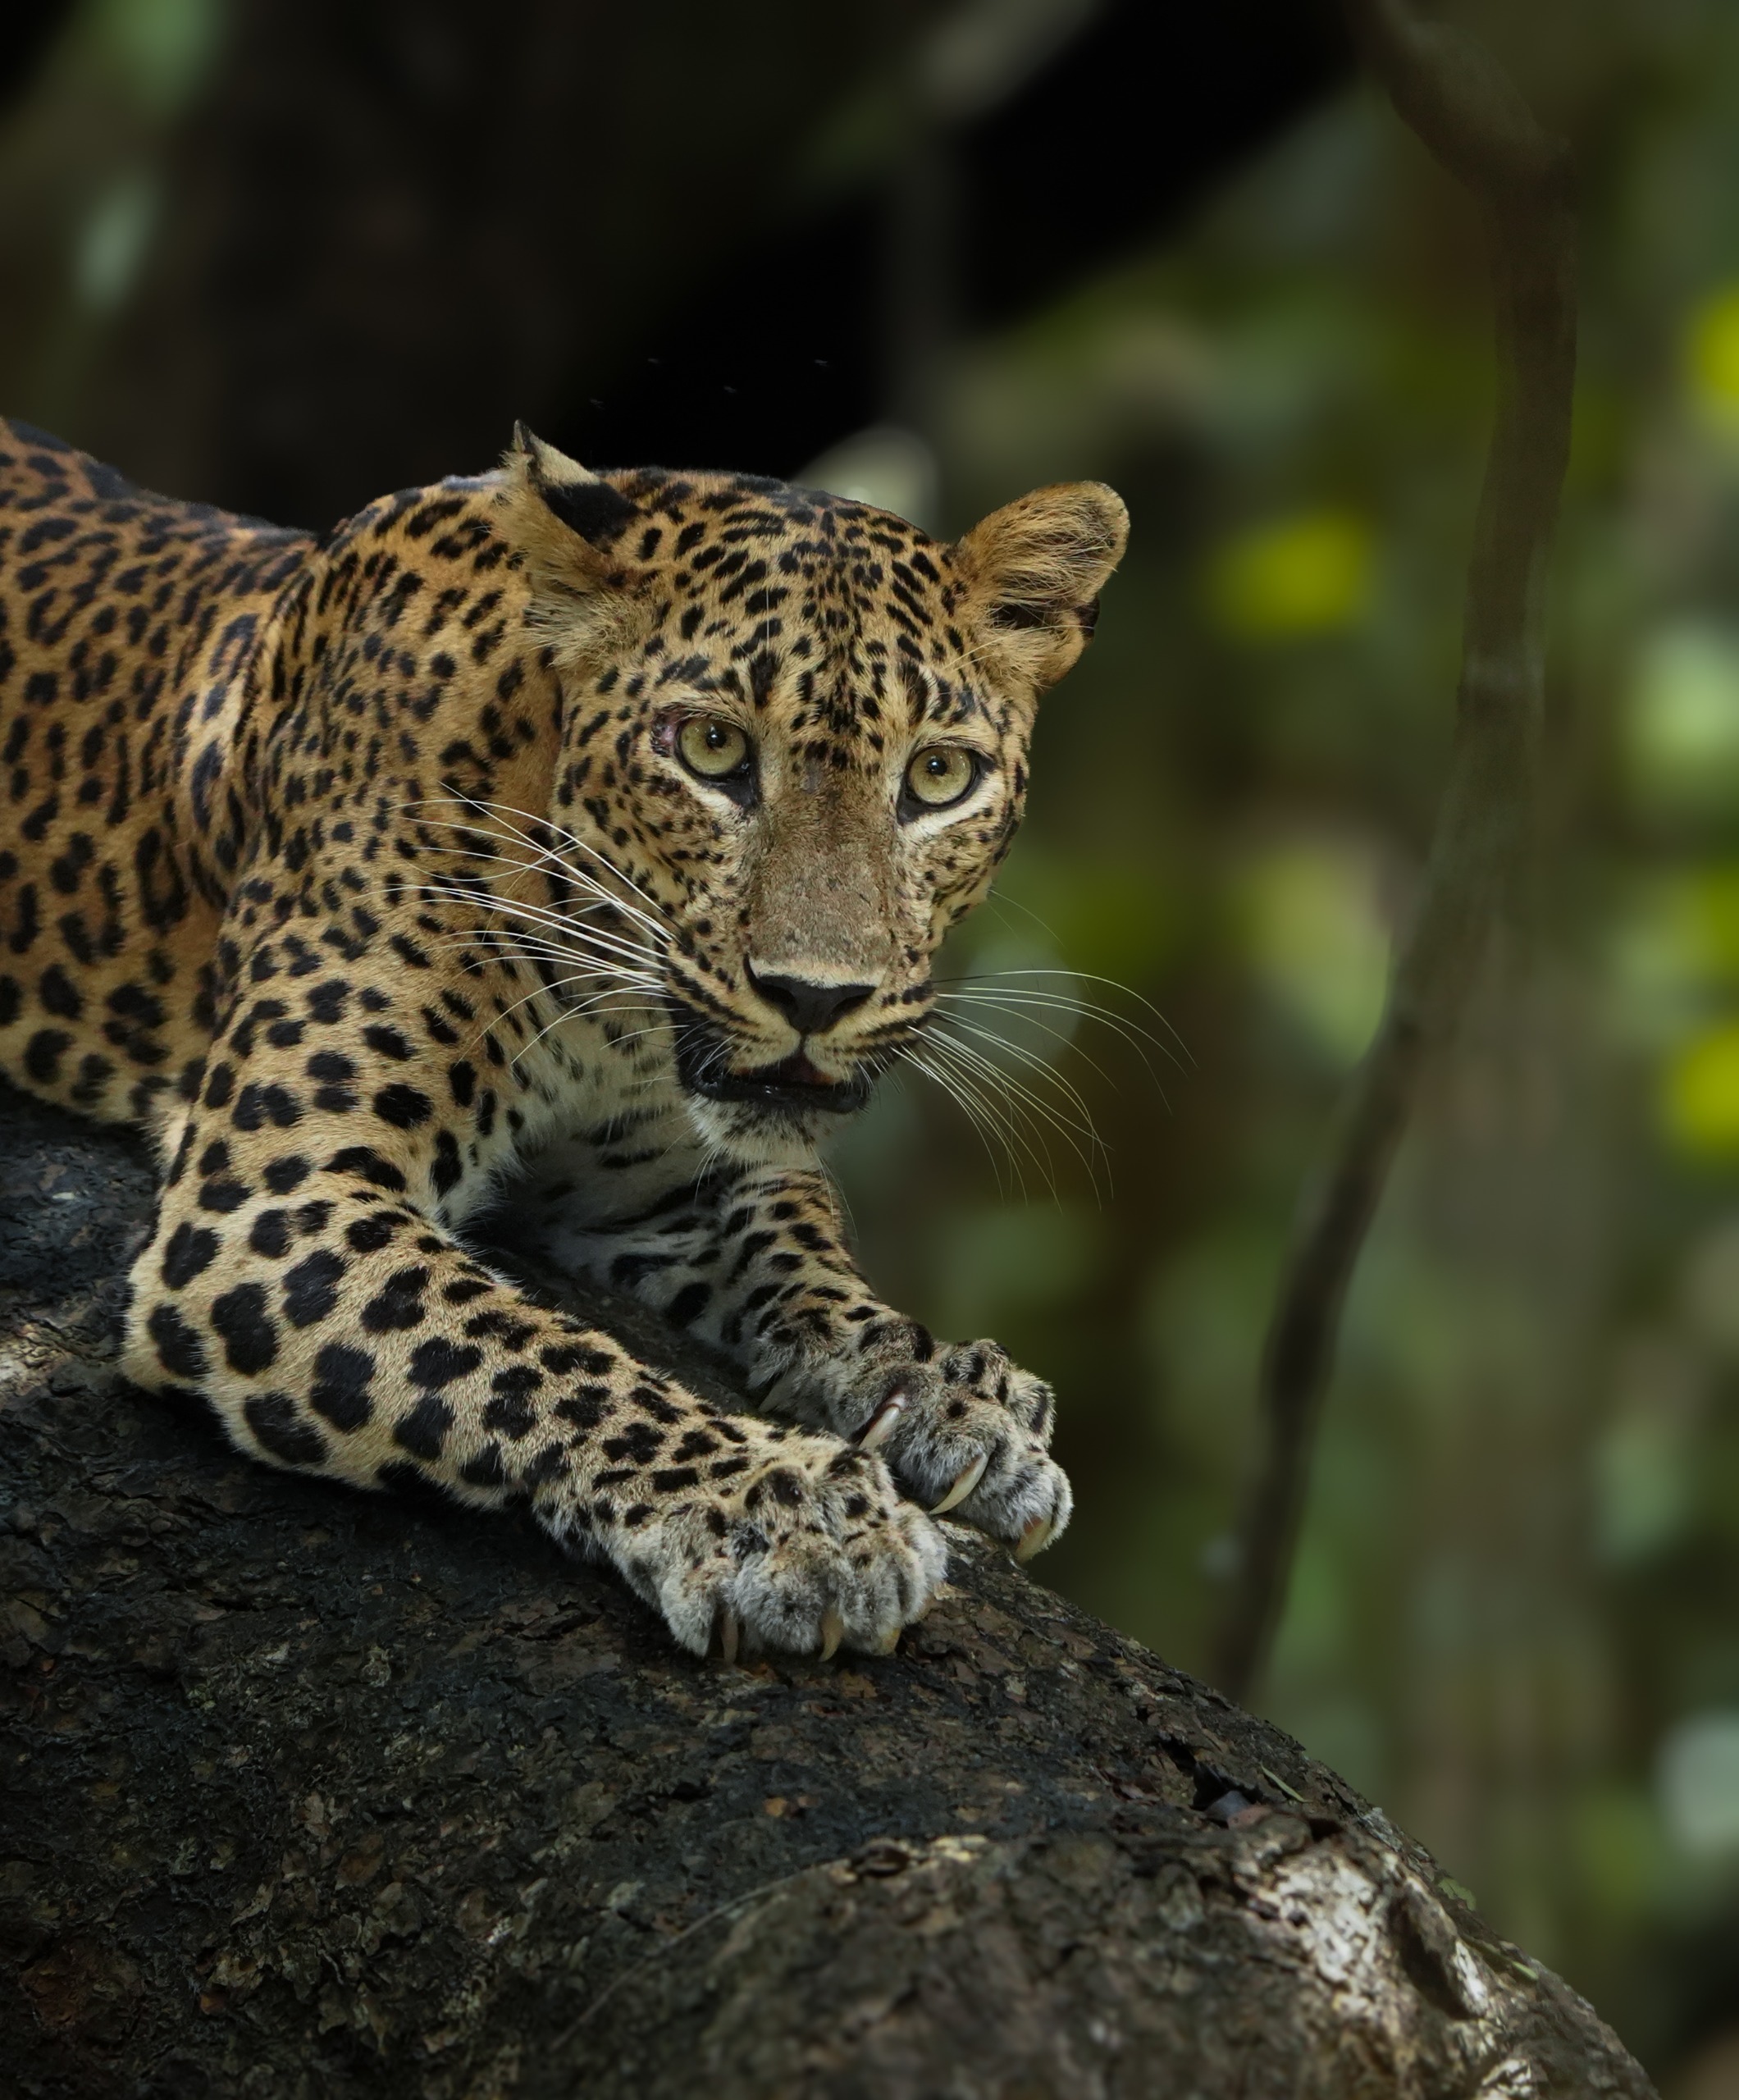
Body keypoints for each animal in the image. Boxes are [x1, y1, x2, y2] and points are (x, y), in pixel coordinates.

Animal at [0, 415, 1127, 1660]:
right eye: (711, 748)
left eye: (937, 775)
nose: (815, 997)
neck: (612, 1018)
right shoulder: (271, 1203)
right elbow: (541, 1355)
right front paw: (785, 1510)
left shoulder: (661, 1186)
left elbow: (803, 1245)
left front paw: (942, 1385)